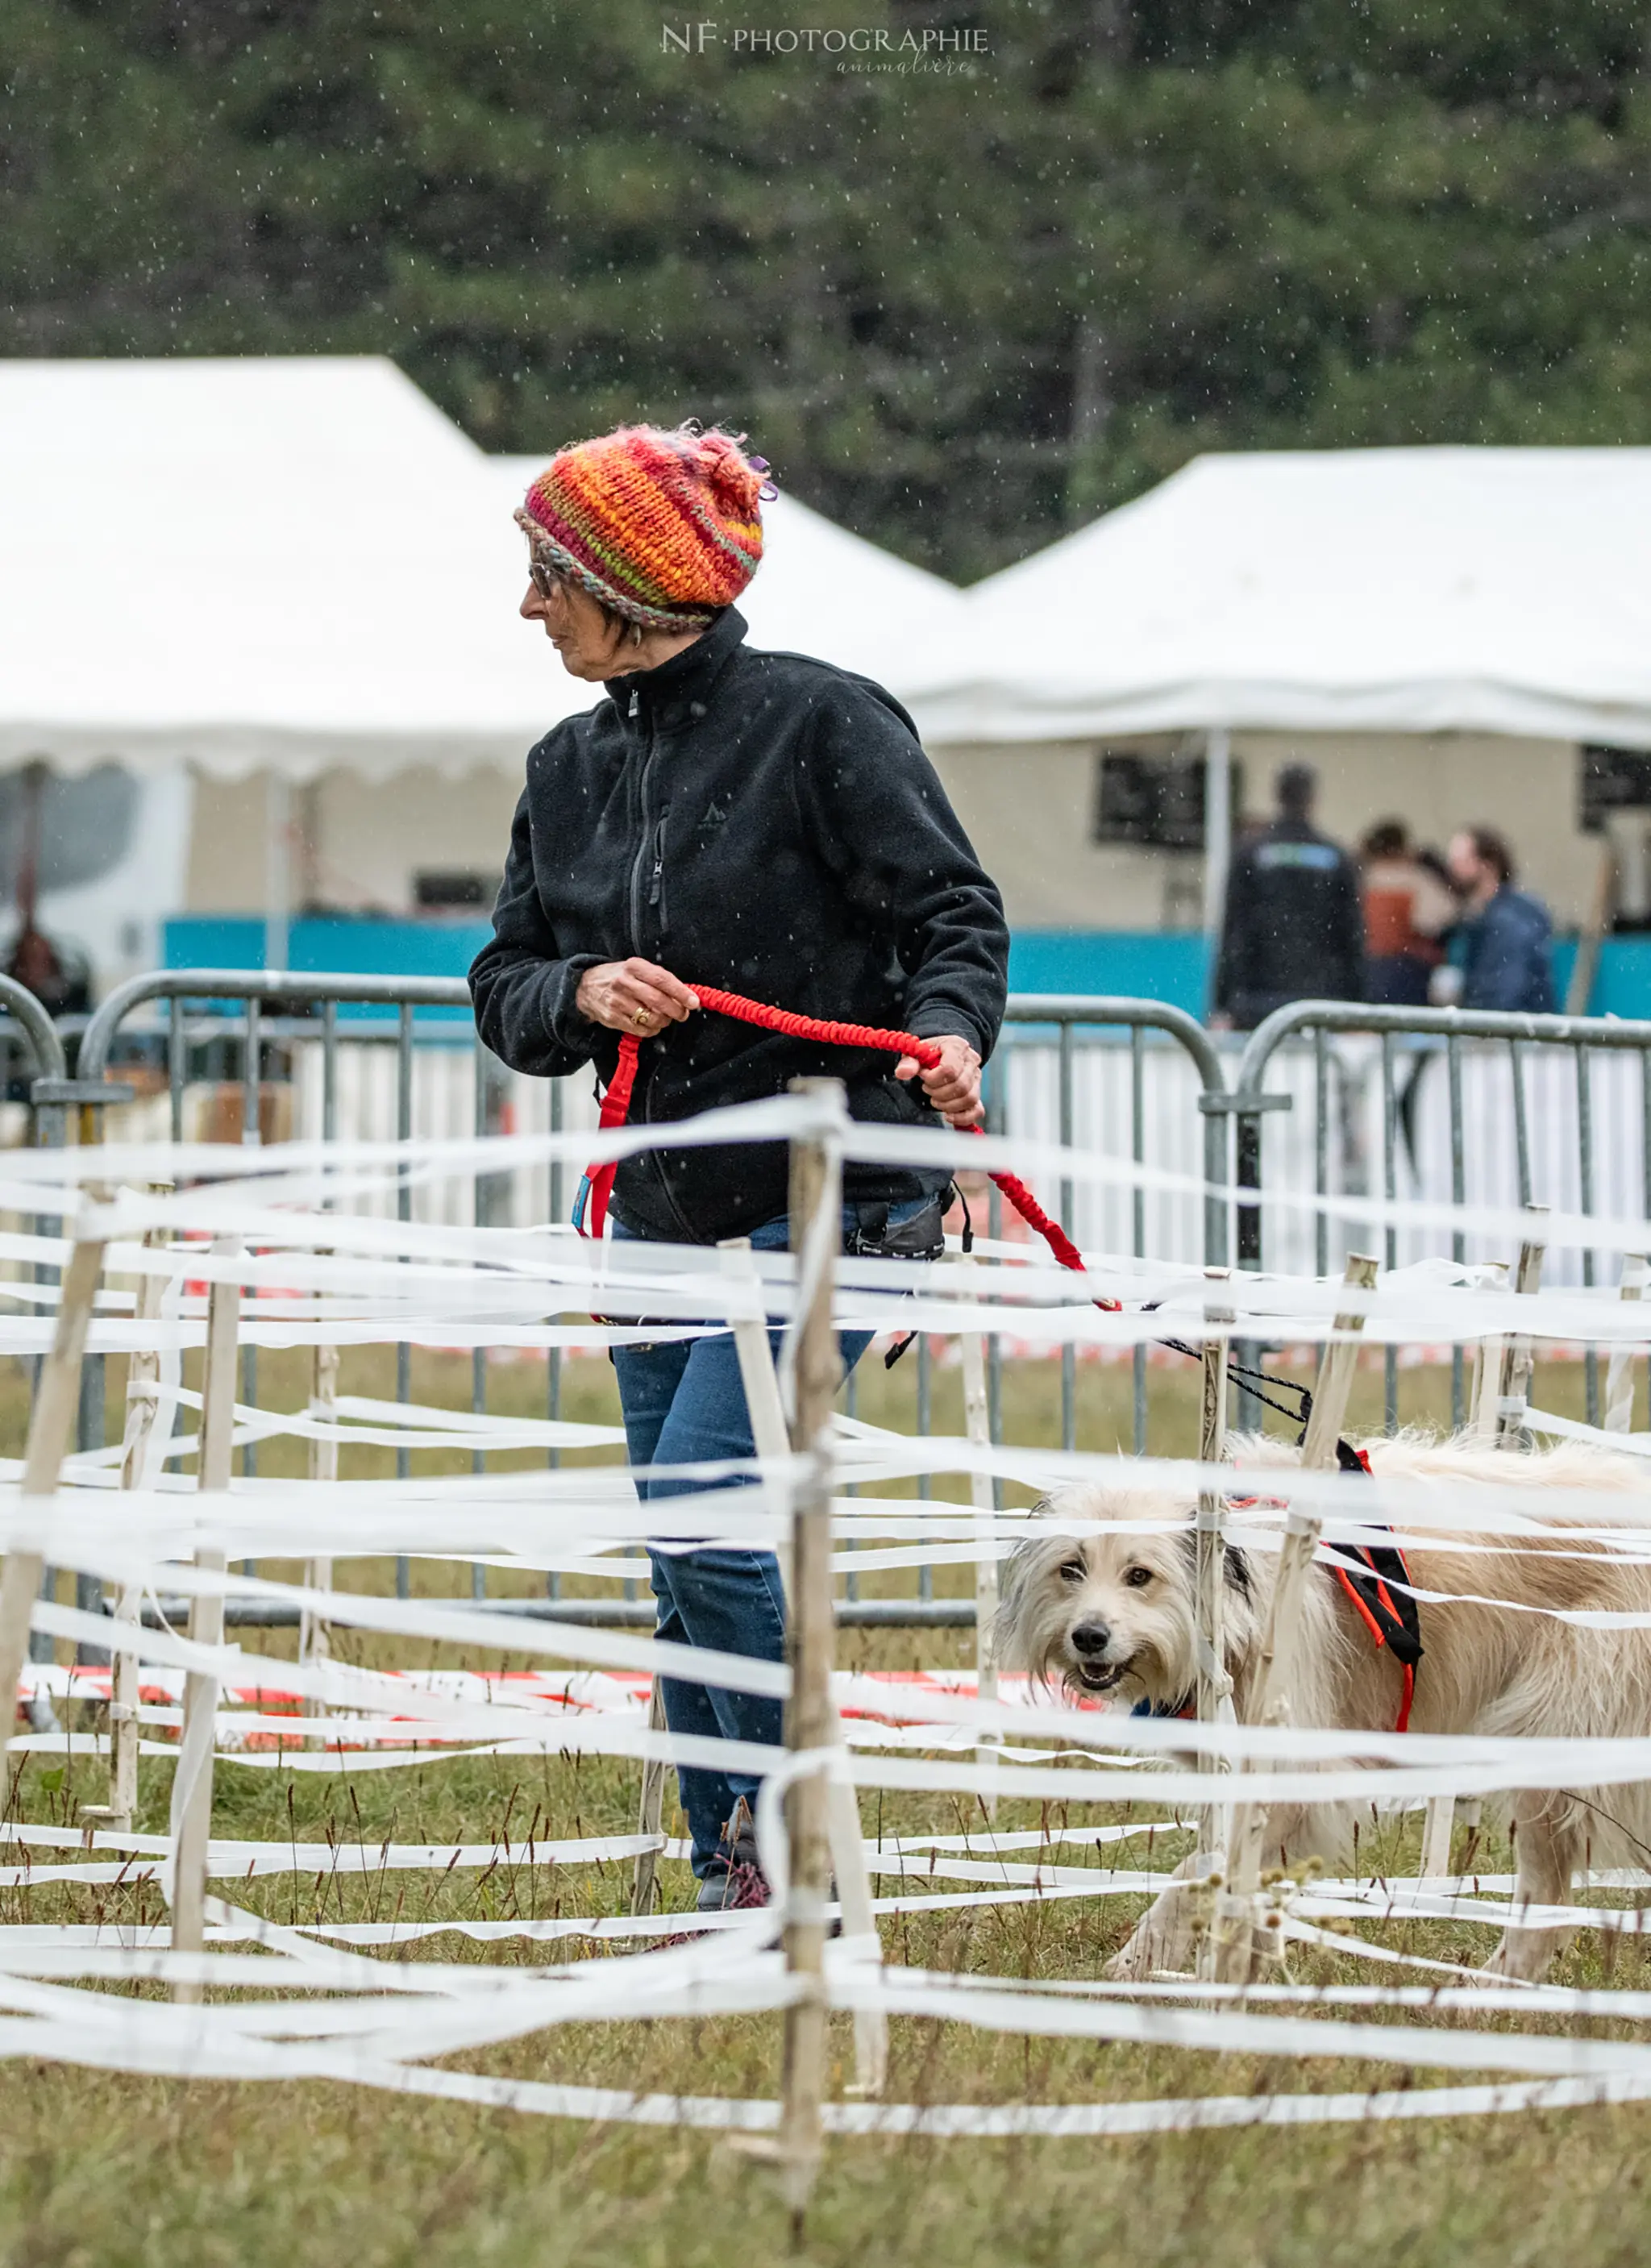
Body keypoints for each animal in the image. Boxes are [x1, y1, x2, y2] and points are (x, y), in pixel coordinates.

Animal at [993, 1433, 1651, 1987]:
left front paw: (1150, 1962)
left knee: (1546, 1892)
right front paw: (1244, 1971)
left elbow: (1199, 1871)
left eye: (1139, 1575)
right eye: (1071, 1569)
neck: (1240, 1593)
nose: (1089, 1637)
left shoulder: (1290, 1773)